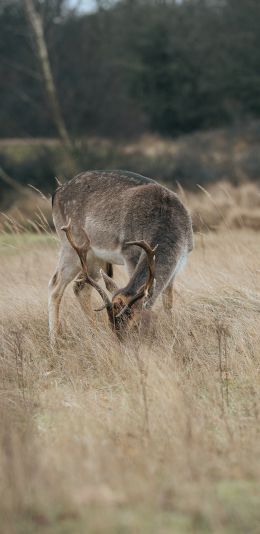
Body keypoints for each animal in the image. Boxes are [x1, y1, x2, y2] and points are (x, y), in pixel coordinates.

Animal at [48, 171, 193, 344]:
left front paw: (171, 332)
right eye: (112, 325)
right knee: (55, 285)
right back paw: (54, 340)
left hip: (93, 257)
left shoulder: (180, 262)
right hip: (70, 244)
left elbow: (168, 302)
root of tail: (56, 192)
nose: (121, 342)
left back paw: (94, 332)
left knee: (80, 287)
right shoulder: (130, 252)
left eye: (135, 324)